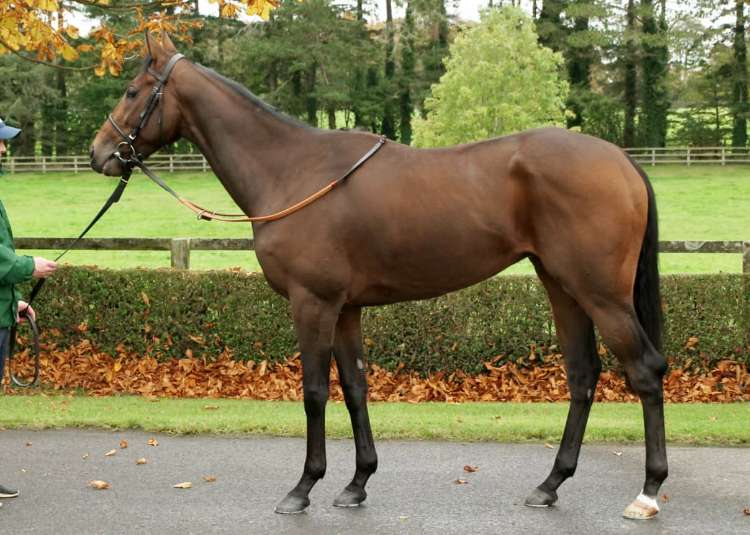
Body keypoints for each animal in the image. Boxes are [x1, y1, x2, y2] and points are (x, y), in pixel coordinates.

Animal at [90, 33, 668, 520]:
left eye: (132, 90)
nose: (100, 154)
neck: (292, 170)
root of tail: (622, 161)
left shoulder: (313, 303)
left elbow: (314, 393)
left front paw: (303, 488)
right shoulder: (346, 308)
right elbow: (355, 387)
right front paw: (356, 483)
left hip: (601, 294)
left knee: (644, 370)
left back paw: (648, 491)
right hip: (562, 287)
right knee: (583, 375)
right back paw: (550, 484)